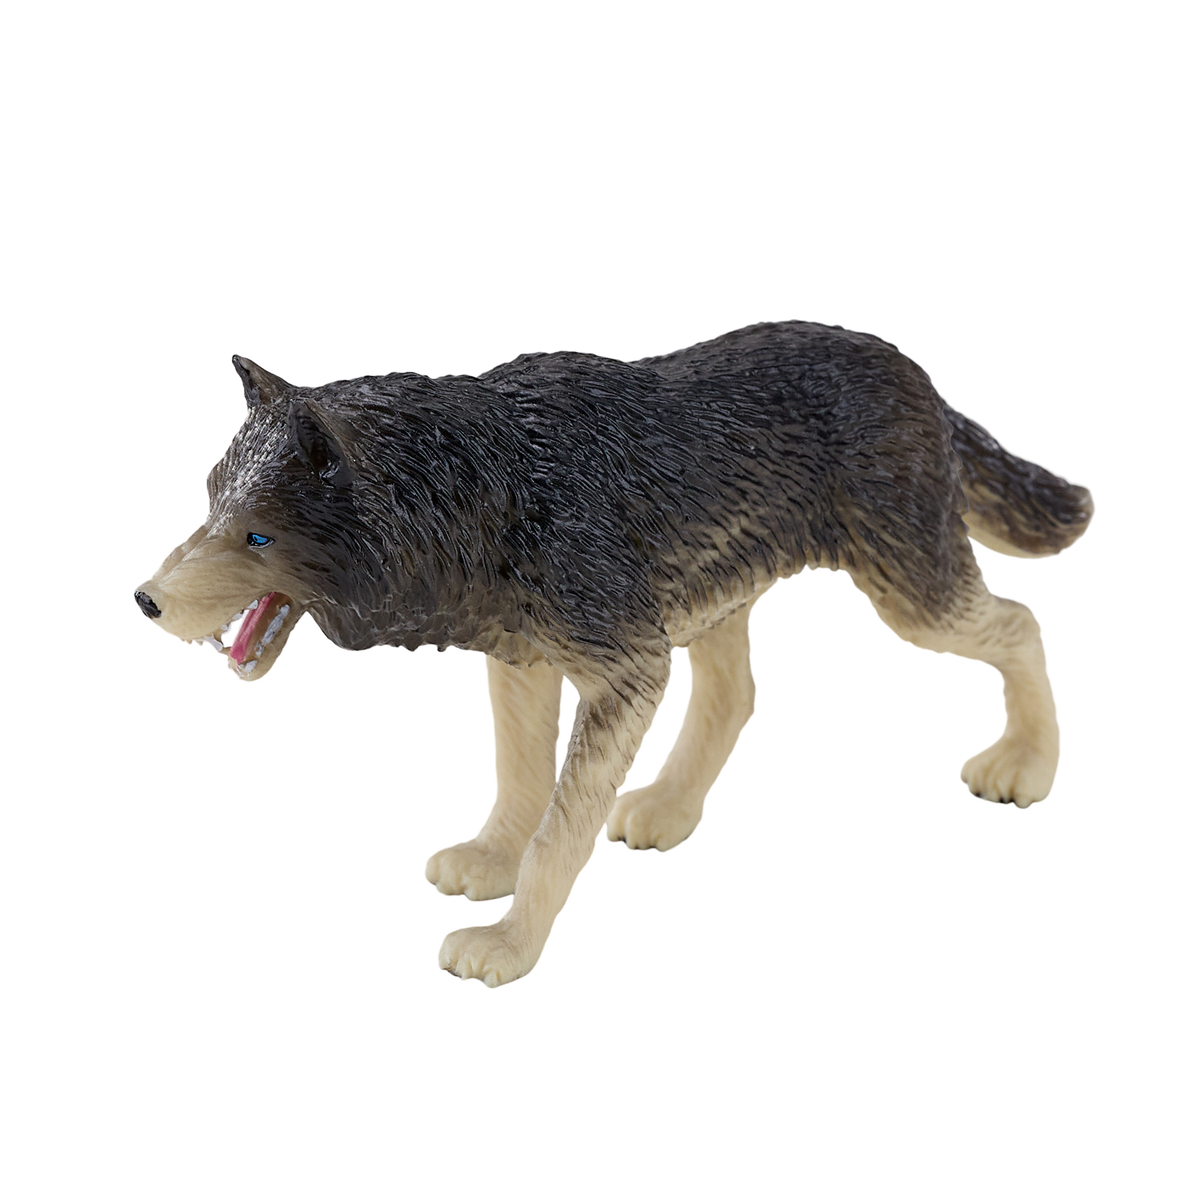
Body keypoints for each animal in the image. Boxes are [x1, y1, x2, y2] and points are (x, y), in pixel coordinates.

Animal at [133, 318, 1096, 989]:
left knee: (1022, 622)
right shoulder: (523, 662)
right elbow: (521, 780)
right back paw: (669, 809)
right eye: (208, 505)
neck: (494, 490)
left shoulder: (625, 671)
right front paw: (493, 858)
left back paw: (1026, 765)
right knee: (735, 698)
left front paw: (510, 941)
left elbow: (561, 827)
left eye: (257, 537)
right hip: (712, 599)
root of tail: (915, 377)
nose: (143, 600)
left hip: (909, 594)